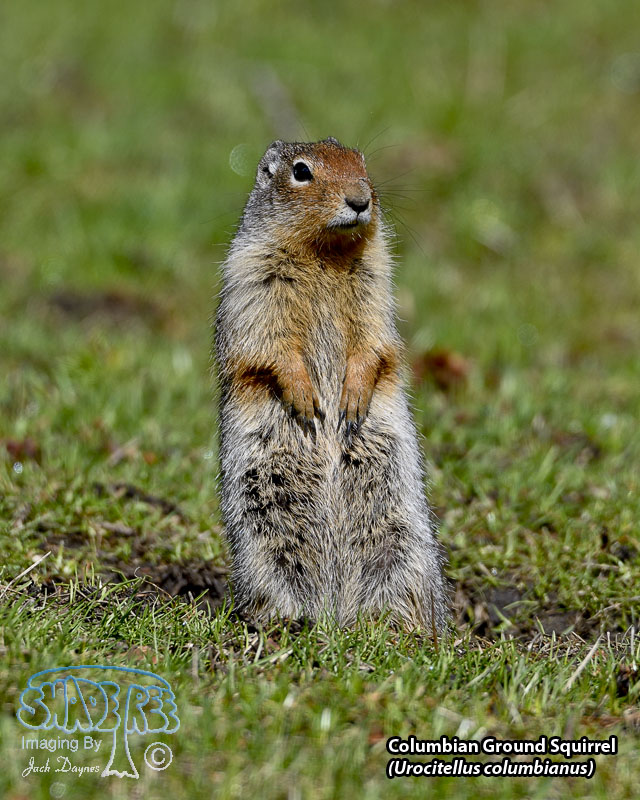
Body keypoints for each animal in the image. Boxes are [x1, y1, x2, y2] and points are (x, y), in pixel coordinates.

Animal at [214, 137, 448, 632]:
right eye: (302, 171)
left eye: (362, 163)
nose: (360, 200)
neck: (325, 252)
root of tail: (335, 613)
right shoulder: (252, 277)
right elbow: (269, 345)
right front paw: (307, 401)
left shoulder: (377, 283)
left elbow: (374, 341)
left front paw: (351, 398)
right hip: (264, 546)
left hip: (405, 548)